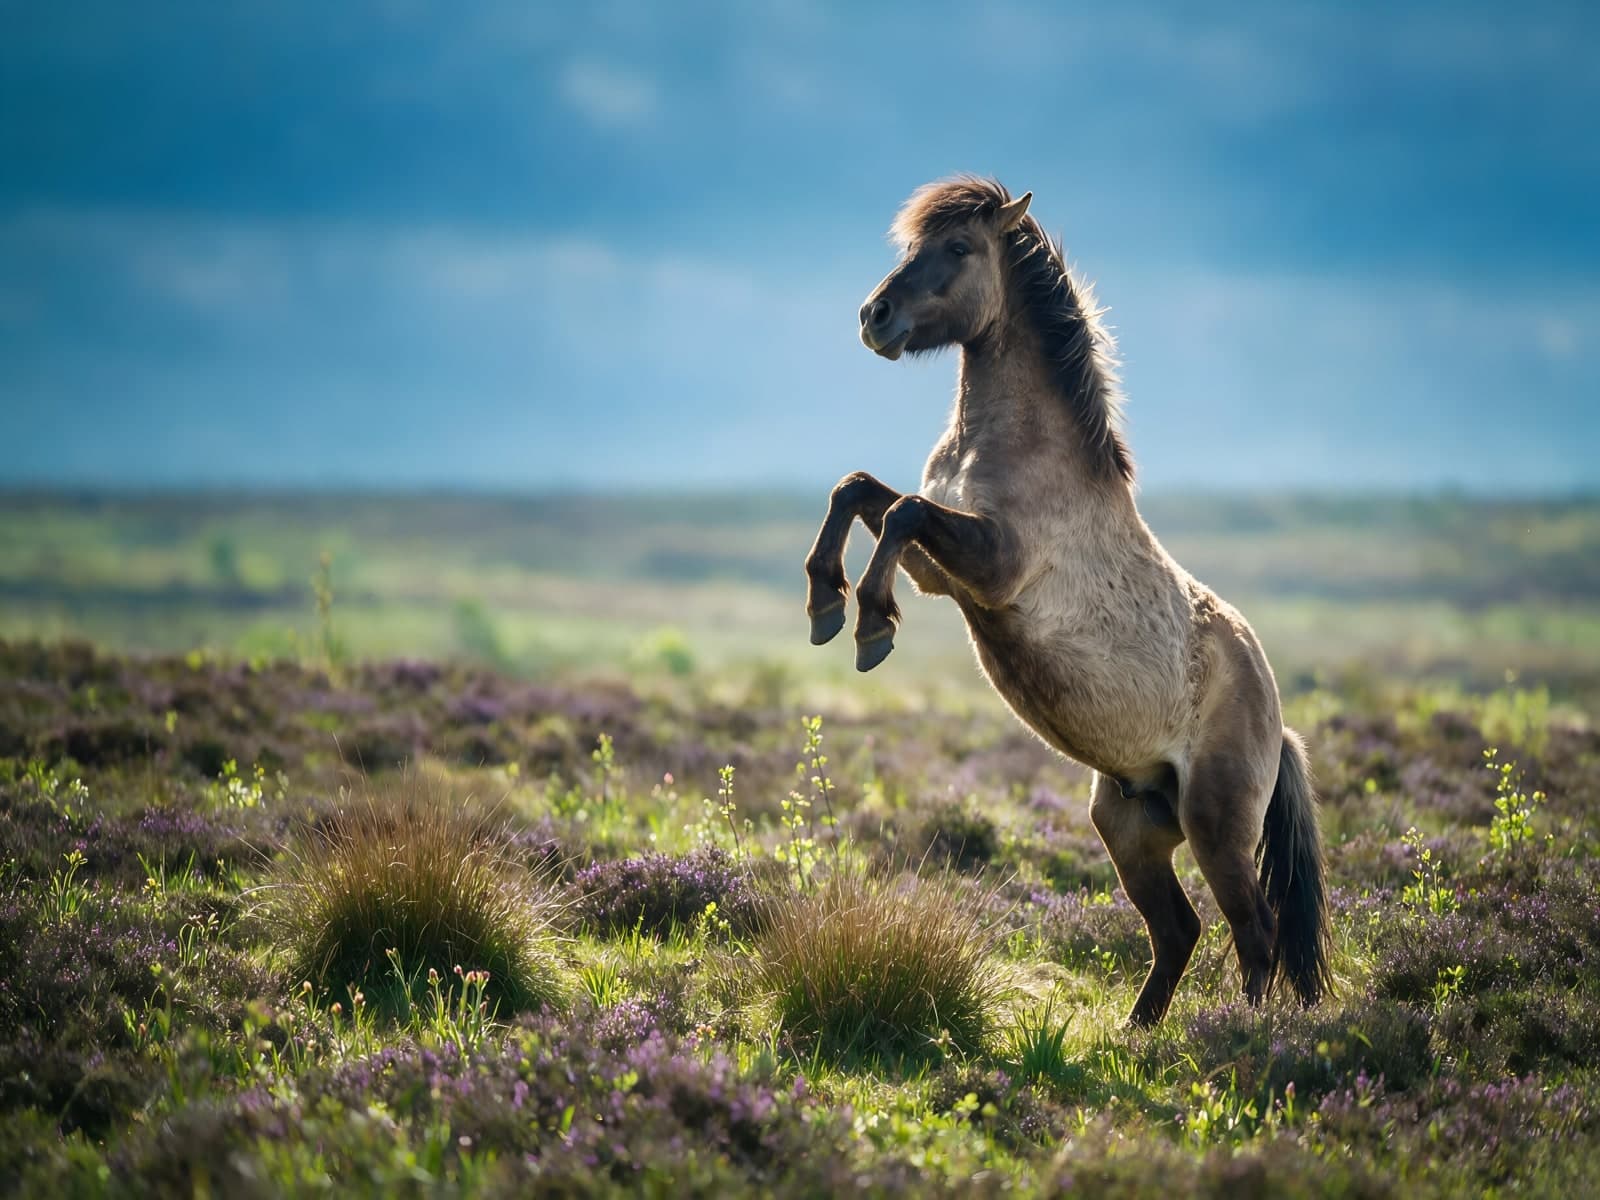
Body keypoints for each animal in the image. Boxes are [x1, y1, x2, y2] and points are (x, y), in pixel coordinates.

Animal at [803, 176, 1331, 1026]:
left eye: (958, 247)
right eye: (910, 245)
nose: (873, 318)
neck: (1013, 444)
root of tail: (1277, 723)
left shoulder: (991, 566)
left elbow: (904, 509)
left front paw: (870, 627)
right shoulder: (938, 572)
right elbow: (861, 492)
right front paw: (827, 603)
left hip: (1216, 825)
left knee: (1256, 933)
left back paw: (1239, 1037)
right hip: (1128, 824)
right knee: (1179, 931)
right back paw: (1137, 1033)